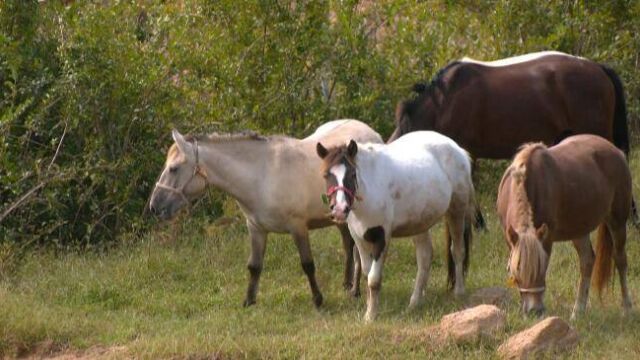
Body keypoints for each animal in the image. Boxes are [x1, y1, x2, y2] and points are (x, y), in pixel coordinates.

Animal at [148, 119, 382, 308]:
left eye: (174, 168)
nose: (154, 206)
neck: (262, 175)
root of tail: (372, 134)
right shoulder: (256, 228)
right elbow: (254, 266)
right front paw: (249, 301)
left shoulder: (298, 227)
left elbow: (308, 264)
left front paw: (318, 300)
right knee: (348, 247)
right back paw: (348, 284)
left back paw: (355, 290)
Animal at [316, 131, 472, 320]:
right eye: (326, 175)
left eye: (353, 174)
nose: (339, 209)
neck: (369, 188)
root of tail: (458, 149)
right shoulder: (359, 239)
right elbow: (367, 273)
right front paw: (369, 309)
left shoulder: (382, 237)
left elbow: (374, 280)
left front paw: (371, 317)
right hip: (420, 223)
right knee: (425, 258)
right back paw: (414, 302)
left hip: (456, 211)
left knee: (457, 251)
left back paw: (459, 292)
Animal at [496, 135, 632, 318]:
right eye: (517, 269)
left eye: (543, 267)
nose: (534, 311)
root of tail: (617, 151)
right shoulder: (511, 239)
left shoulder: (546, 239)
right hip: (579, 230)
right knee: (587, 261)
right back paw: (578, 310)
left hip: (617, 222)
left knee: (620, 259)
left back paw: (627, 307)